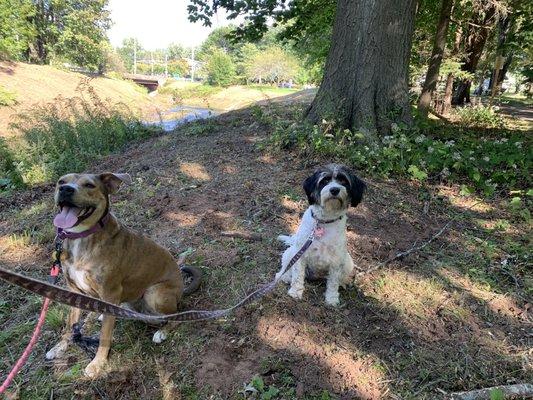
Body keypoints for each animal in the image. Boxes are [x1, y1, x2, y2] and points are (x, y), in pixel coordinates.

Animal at [44, 173, 200, 378]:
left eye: (89, 185)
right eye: (61, 182)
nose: (66, 189)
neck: (81, 238)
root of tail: (181, 290)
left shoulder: (110, 292)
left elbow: (104, 336)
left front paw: (98, 363)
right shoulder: (74, 290)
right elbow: (71, 324)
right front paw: (60, 347)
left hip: (154, 293)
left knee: (176, 316)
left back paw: (162, 332)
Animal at [274, 164, 366, 304]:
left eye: (343, 180)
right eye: (324, 181)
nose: (334, 190)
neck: (324, 221)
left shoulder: (336, 260)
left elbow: (333, 282)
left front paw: (332, 299)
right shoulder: (300, 255)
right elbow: (297, 276)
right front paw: (295, 292)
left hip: (348, 262)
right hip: (290, 252)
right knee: (286, 269)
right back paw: (283, 276)